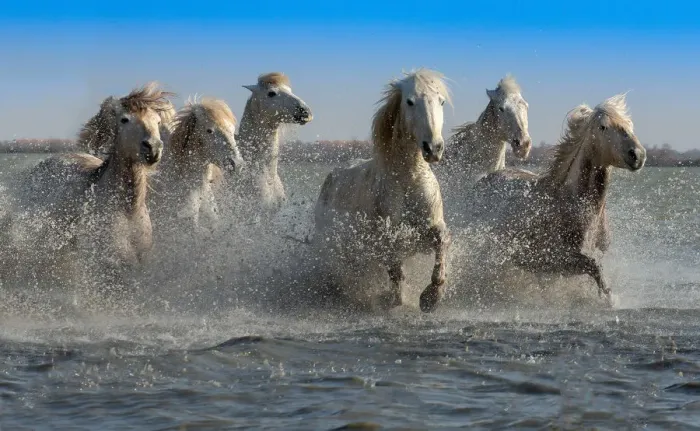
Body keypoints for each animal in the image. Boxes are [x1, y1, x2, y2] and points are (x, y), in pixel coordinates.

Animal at [314, 69, 451, 313]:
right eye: (410, 101)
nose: (433, 148)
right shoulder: (387, 238)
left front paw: (431, 297)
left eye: (441, 101)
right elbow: (396, 273)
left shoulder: (429, 227)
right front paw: (391, 300)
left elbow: (442, 241)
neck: (408, 180)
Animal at [475, 94, 646, 302]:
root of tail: (483, 180)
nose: (638, 155)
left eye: (629, 124)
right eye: (603, 127)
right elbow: (594, 266)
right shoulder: (551, 260)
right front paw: (609, 299)